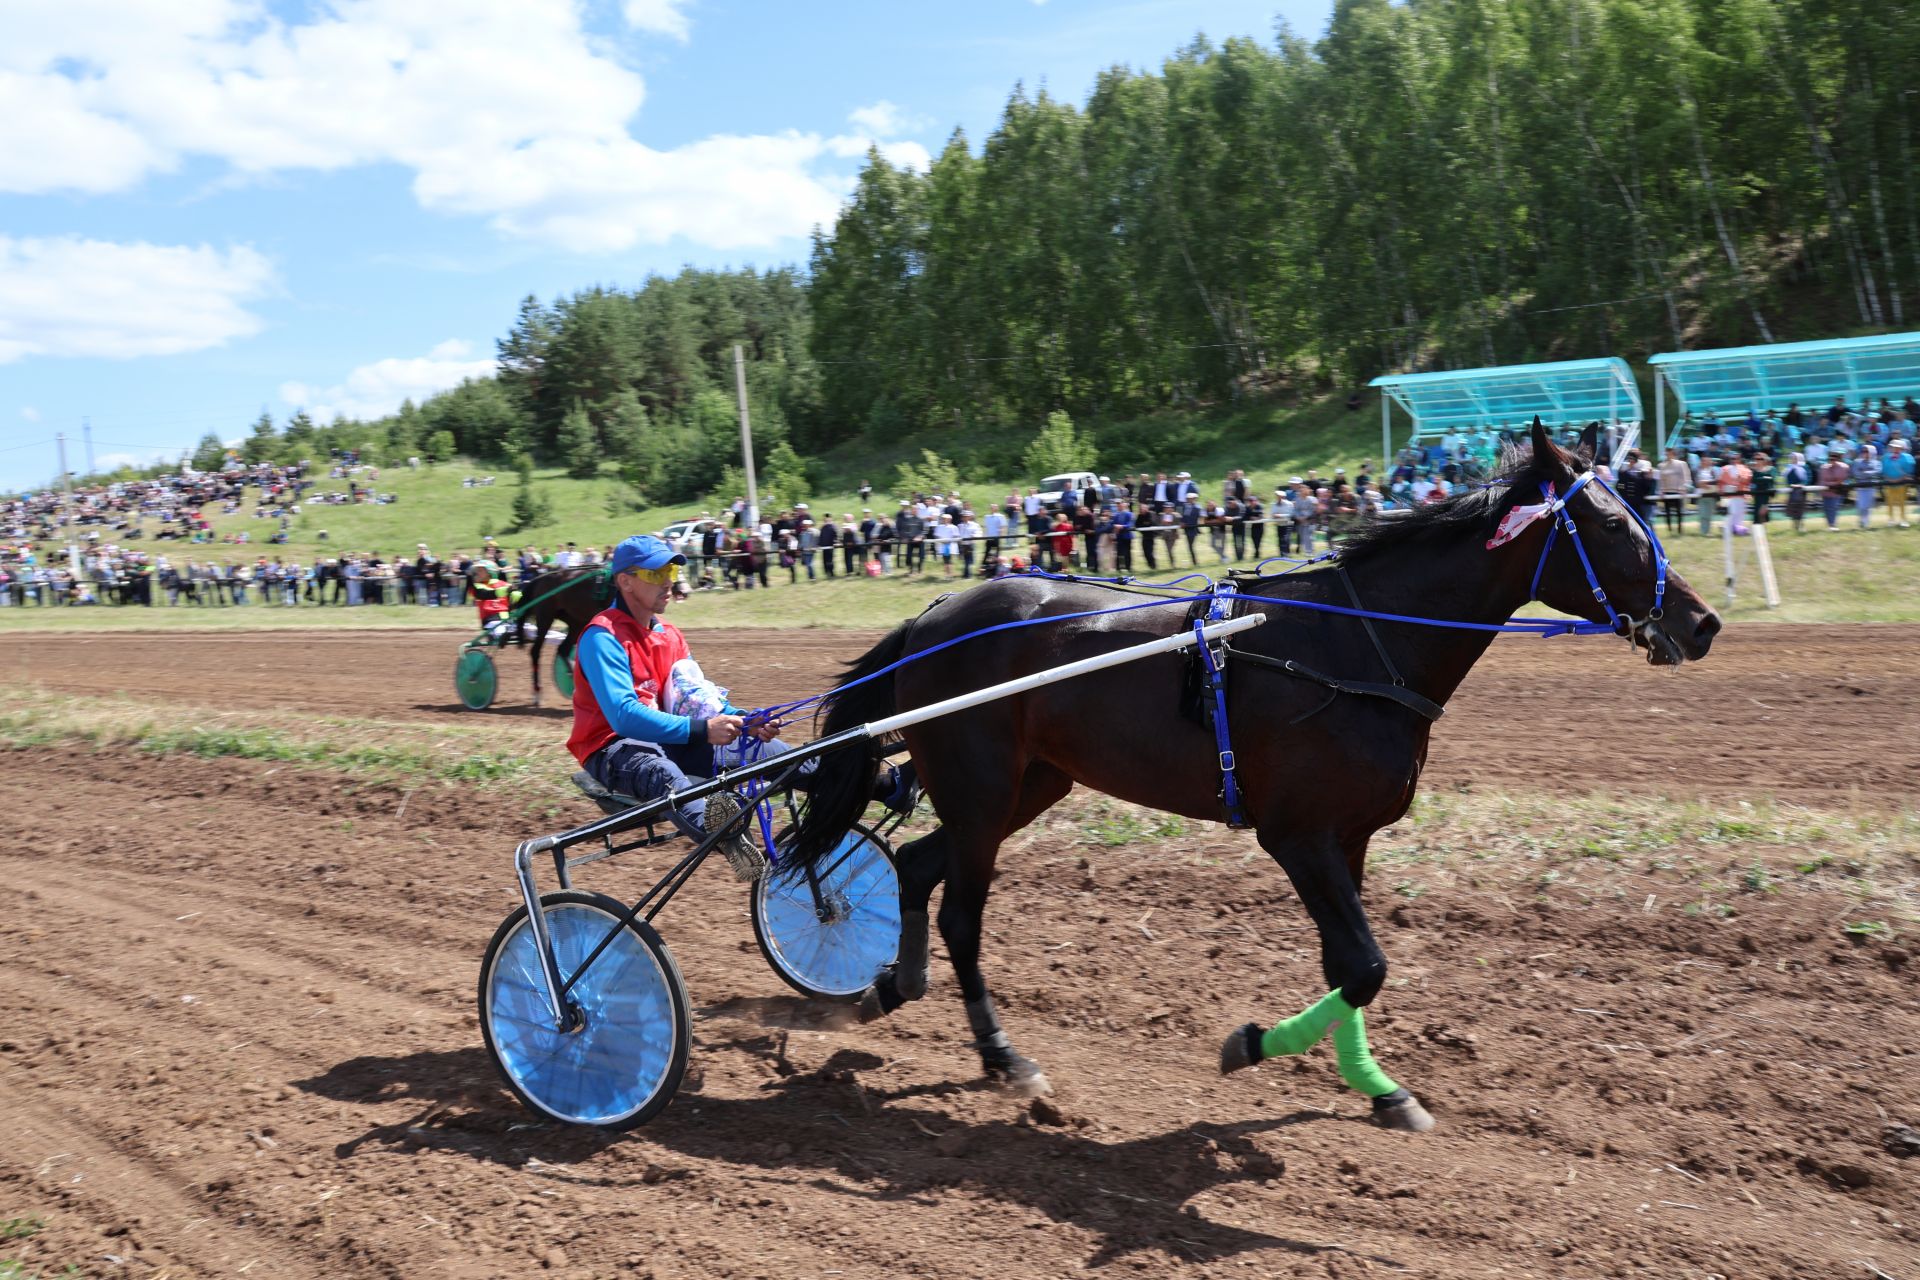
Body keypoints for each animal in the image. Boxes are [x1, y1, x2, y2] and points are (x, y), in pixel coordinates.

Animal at [787, 426, 1720, 1136]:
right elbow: (1364, 965)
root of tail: (930, 617)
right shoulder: (1296, 835)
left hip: (1030, 784)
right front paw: (1251, 1046)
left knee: (917, 867)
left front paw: (1381, 1089)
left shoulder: (1350, 838)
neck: (1355, 645)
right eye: (1612, 525)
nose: (1702, 621)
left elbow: (1350, 966)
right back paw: (1001, 1053)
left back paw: (891, 987)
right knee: (961, 914)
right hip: (980, 787)